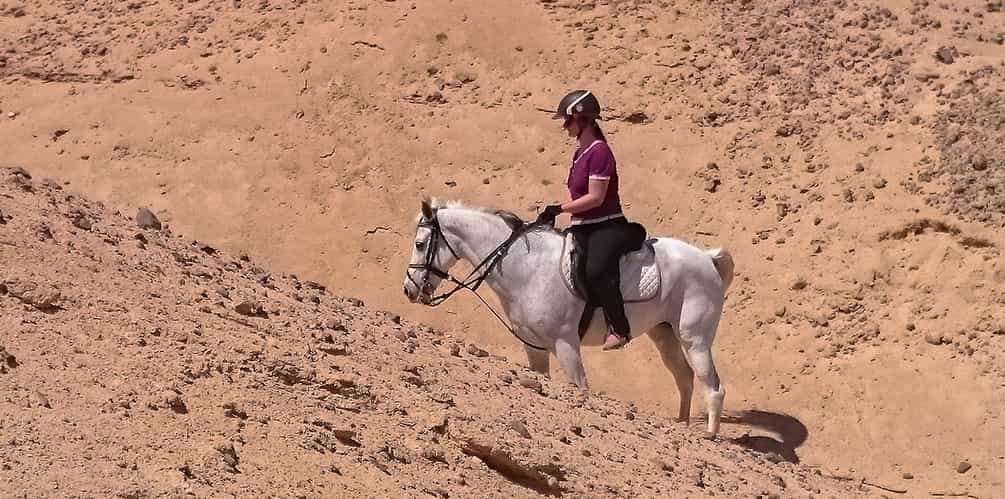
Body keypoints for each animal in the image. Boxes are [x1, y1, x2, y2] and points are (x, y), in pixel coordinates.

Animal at [402, 198, 735, 436]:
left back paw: (709, 437)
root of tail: (706, 259)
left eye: (419, 244)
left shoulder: (566, 345)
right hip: (663, 334)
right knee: (684, 377)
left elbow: (580, 388)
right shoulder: (534, 347)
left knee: (714, 388)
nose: (408, 289)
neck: (526, 267)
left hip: (695, 339)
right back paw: (682, 426)